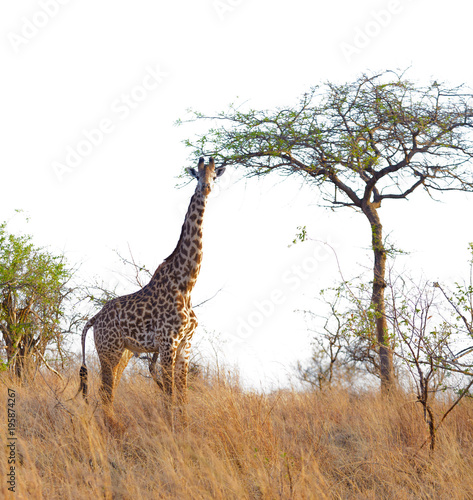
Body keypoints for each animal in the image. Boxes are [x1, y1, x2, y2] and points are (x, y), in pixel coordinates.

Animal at [78, 158, 226, 412]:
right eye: (197, 175)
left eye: (214, 175)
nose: (206, 188)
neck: (186, 284)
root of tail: (94, 319)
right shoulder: (168, 343)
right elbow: (169, 397)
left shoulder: (185, 344)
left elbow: (183, 397)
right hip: (109, 350)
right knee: (105, 392)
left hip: (124, 352)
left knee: (109, 391)